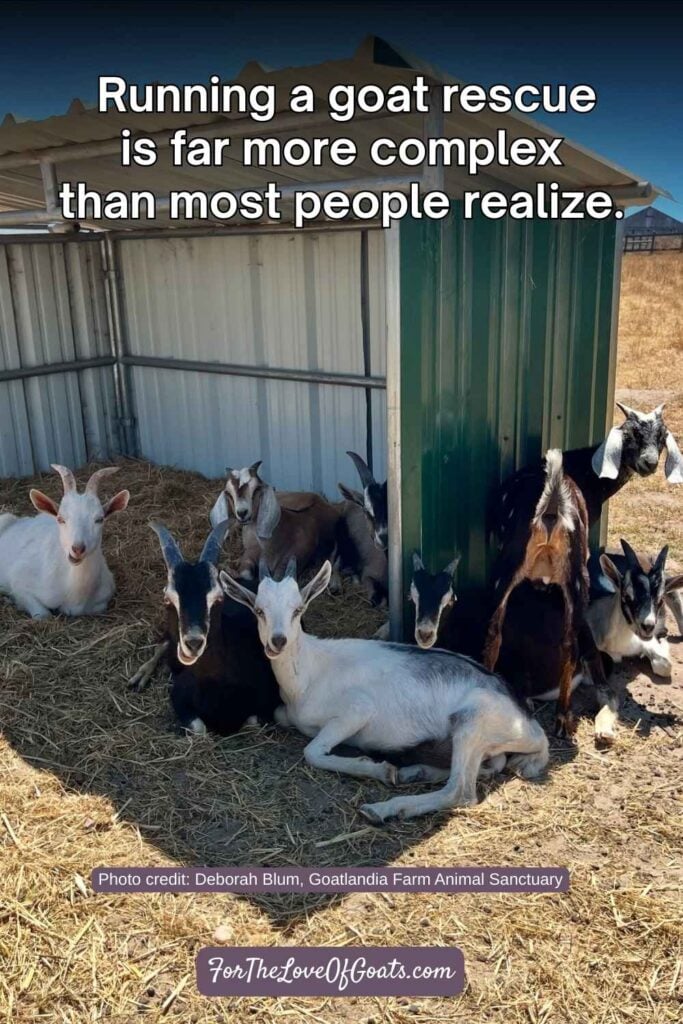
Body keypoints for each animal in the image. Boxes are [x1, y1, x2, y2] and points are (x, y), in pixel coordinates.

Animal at [0, 465, 129, 618]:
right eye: (60, 519)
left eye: (99, 519)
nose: (78, 549)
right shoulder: (20, 581)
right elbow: (43, 615)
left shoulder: (103, 598)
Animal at [132, 520, 280, 736]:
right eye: (167, 598)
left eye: (218, 597)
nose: (193, 643)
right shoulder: (178, 696)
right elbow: (200, 728)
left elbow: (251, 723)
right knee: (163, 644)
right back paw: (140, 676)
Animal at [221, 559, 549, 824]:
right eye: (259, 611)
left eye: (297, 609)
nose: (278, 641)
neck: (309, 673)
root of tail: (533, 729)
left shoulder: (357, 710)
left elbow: (312, 751)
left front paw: (378, 770)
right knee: (489, 766)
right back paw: (414, 772)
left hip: (473, 719)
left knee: (461, 792)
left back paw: (384, 808)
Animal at [483, 449, 595, 739]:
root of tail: (552, 510)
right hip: (578, 580)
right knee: (570, 644)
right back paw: (563, 718)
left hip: (506, 567)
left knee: (493, 634)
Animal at [586, 540, 683, 678]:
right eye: (626, 595)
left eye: (660, 600)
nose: (648, 627)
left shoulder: (645, 642)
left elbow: (664, 666)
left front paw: (663, 643)